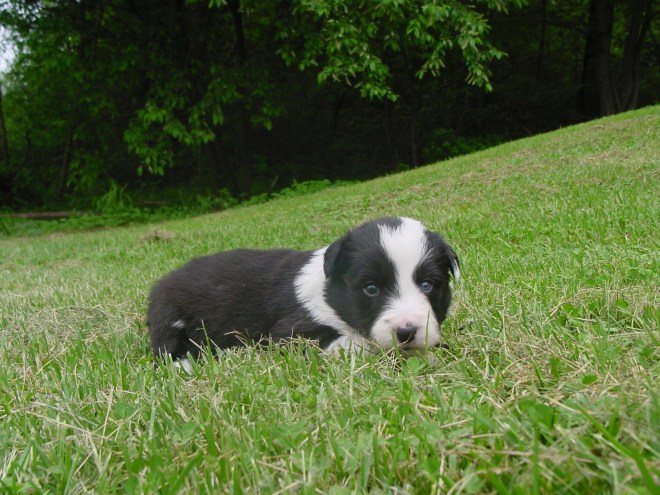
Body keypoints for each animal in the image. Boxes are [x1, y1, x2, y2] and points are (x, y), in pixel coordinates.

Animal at [147, 217, 459, 370]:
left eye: (427, 285)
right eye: (371, 289)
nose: (406, 331)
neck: (330, 296)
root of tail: (166, 278)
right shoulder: (290, 333)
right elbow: (360, 344)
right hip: (168, 314)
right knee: (165, 348)